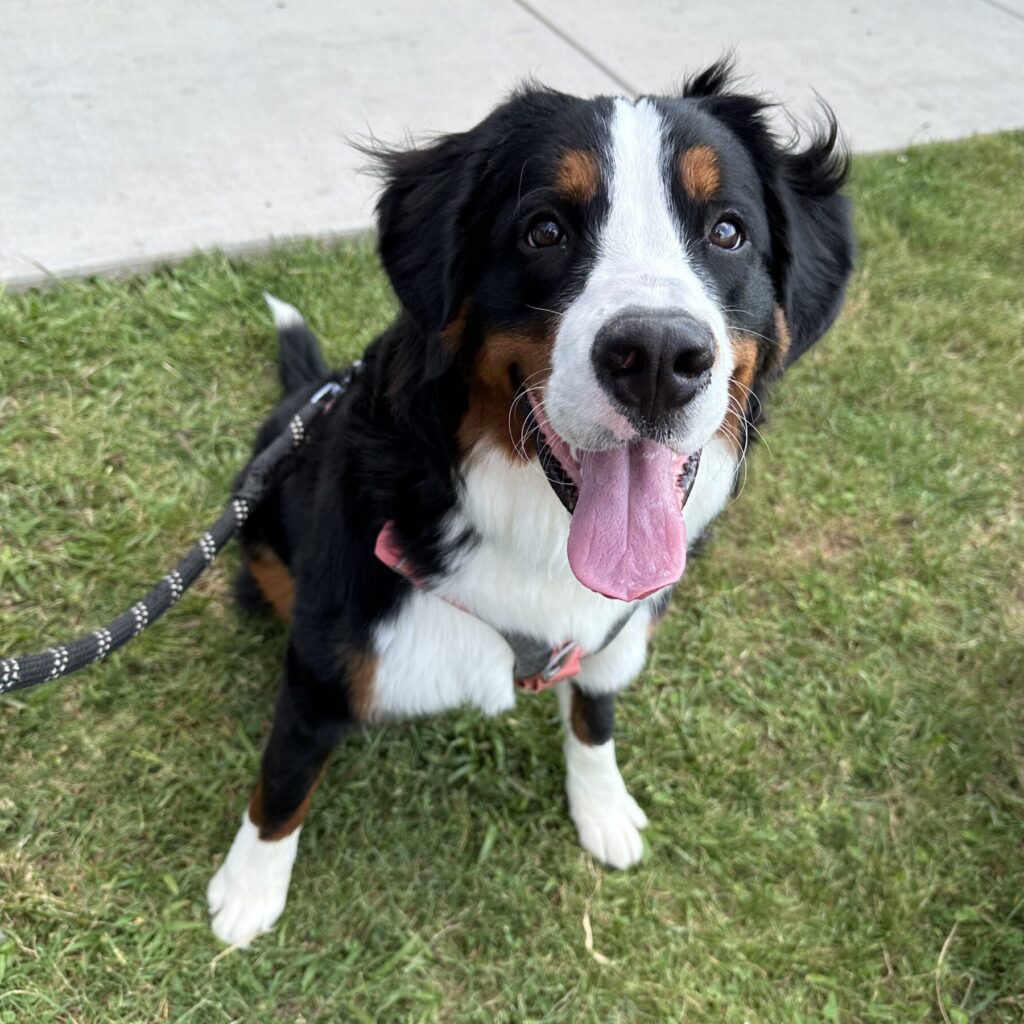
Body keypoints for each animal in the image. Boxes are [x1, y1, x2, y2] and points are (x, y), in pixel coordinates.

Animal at [203, 61, 851, 942]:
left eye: (727, 232)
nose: (656, 357)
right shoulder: (330, 661)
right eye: (544, 230)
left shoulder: (619, 629)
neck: (539, 534)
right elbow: (284, 777)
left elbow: (595, 716)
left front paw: (602, 808)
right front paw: (248, 889)